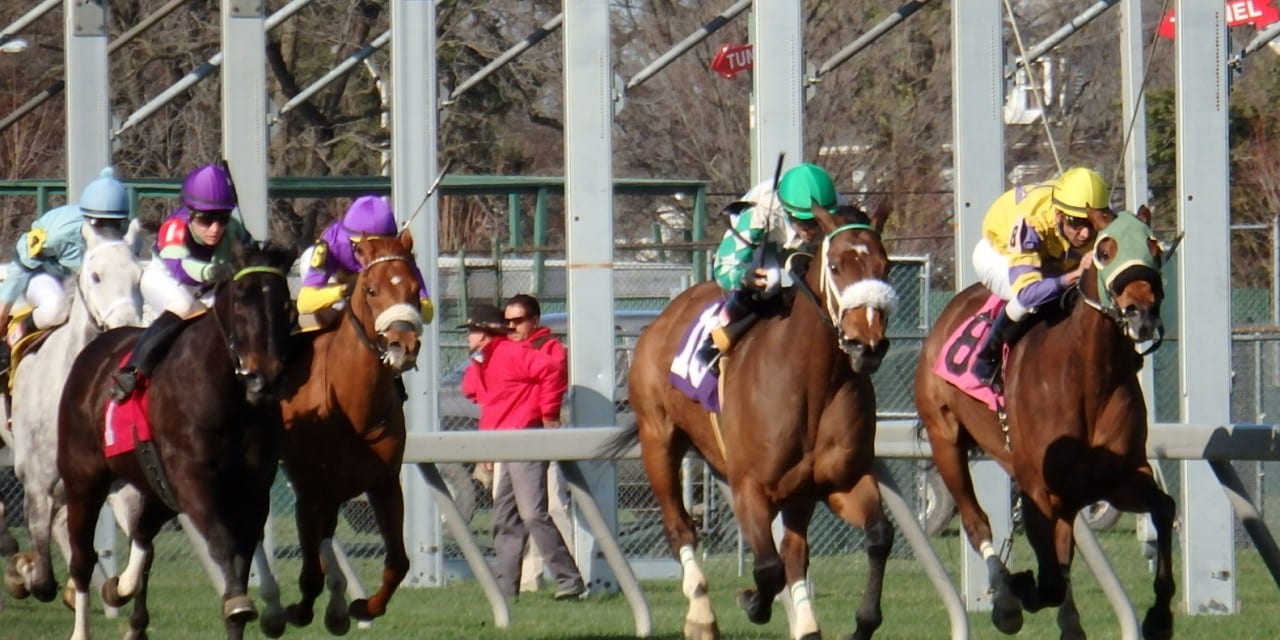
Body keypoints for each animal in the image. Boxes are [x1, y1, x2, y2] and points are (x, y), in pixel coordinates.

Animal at [3, 226, 144, 604]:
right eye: (95, 276)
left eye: (139, 276)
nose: (125, 328)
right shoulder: (37, 486)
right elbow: (42, 583)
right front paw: (23, 570)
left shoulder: (118, 484)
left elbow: (129, 574)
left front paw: (111, 586)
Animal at [58, 240, 295, 640]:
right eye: (240, 300)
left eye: (286, 305)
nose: (263, 378)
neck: (229, 401)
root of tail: (93, 352)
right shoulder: (192, 478)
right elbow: (221, 541)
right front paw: (238, 602)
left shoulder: (252, 493)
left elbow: (242, 556)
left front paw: (239, 611)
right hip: (83, 482)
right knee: (82, 559)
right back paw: (83, 628)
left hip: (154, 485)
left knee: (142, 534)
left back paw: (124, 591)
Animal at [264, 232, 424, 637]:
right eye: (371, 289)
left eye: (415, 288)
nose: (403, 345)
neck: (352, 406)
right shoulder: (309, 490)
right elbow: (310, 571)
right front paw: (298, 611)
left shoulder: (384, 483)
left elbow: (398, 561)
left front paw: (363, 607)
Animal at [606, 202, 901, 640]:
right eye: (835, 265)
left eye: (885, 266)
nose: (867, 346)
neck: (812, 380)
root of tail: (665, 315)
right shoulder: (750, 486)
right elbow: (767, 567)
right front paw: (752, 602)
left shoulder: (840, 480)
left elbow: (879, 535)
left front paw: (863, 622)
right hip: (658, 440)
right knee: (680, 528)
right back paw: (701, 616)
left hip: (792, 491)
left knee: (796, 553)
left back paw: (807, 628)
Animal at [916, 206, 1172, 640]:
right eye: (1105, 250)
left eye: (1155, 249)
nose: (1143, 312)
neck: (1088, 375)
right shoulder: (1036, 487)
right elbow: (1049, 578)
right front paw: (1017, 591)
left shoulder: (1116, 478)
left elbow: (1164, 508)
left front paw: (1160, 615)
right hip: (945, 439)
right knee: (976, 522)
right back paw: (1005, 600)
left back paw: (1068, 622)